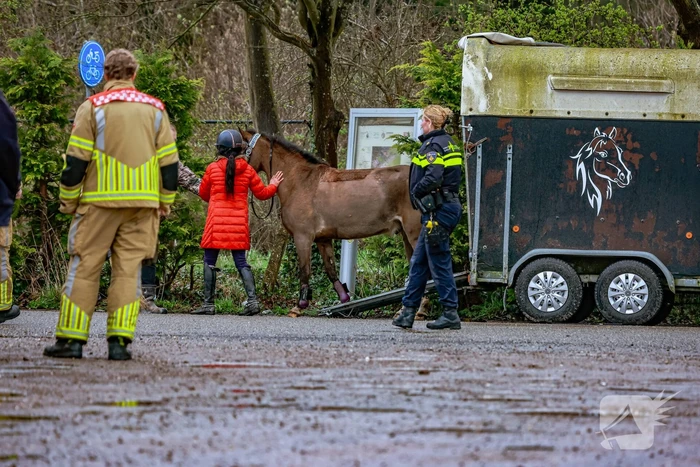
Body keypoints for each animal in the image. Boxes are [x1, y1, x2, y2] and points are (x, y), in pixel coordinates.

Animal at [240, 129, 422, 309]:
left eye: (240, 148)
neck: (300, 181)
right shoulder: (323, 239)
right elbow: (331, 270)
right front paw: (344, 299)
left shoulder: (302, 237)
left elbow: (305, 270)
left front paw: (301, 304)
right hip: (406, 235)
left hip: (414, 233)